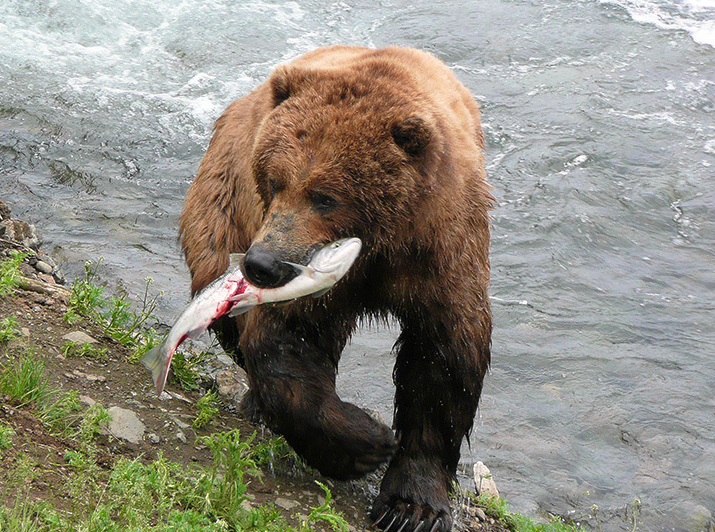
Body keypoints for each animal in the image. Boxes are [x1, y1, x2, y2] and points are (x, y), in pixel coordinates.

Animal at [179, 46, 492, 532]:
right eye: (274, 180)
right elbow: (284, 341)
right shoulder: (305, 272)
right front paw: (367, 441)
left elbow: (443, 359)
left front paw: (413, 506)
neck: (381, 245)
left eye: (325, 197)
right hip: (222, 201)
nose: (261, 264)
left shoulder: (442, 249)